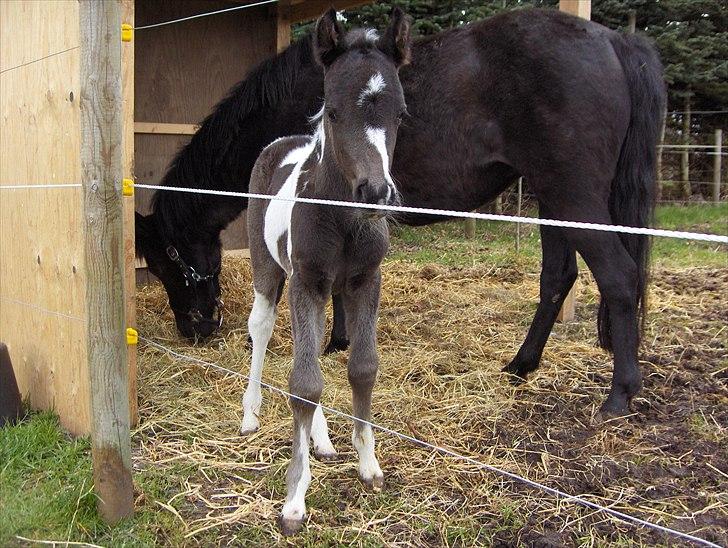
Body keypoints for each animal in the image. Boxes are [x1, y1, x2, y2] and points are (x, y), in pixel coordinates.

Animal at [136, 8, 664, 418]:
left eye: (166, 260)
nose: (195, 329)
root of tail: (616, 41)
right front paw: (340, 341)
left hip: (573, 198)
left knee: (619, 277)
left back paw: (619, 395)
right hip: (553, 202)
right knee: (558, 277)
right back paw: (521, 365)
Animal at [239, 8, 410, 536]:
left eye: (401, 114)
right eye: (333, 111)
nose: (376, 193)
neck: (340, 217)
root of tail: (284, 141)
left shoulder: (364, 282)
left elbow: (361, 367)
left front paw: (368, 465)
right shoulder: (305, 283)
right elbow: (304, 383)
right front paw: (294, 499)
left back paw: (323, 439)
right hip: (269, 270)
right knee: (261, 329)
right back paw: (249, 415)